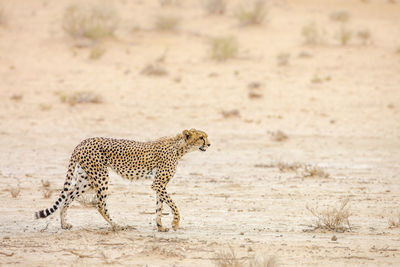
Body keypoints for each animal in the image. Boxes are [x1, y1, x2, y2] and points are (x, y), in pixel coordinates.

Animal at [34, 128, 211, 232]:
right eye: (201, 137)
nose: (209, 144)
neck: (179, 147)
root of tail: (82, 142)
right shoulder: (158, 183)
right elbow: (173, 205)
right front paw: (175, 223)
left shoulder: (158, 185)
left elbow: (159, 206)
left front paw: (160, 226)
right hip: (101, 177)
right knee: (100, 204)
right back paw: (117, 225)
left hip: (86, 180)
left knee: (68, 195)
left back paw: (64, 224)